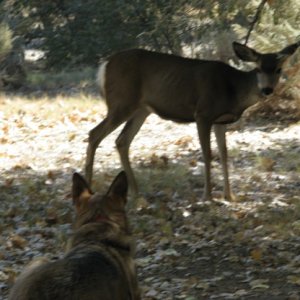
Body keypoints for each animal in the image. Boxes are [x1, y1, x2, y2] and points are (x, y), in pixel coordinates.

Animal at [84, 41, 298, 200]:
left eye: (279, 69)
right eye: (259, 68)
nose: (267, 90)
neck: (233, 91)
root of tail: (104, 66)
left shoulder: (221, 121)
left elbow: (224, 154)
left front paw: (230, 196)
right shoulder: (203, 114)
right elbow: (207, 154)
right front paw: (208, 196)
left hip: (141, 110)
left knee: (122, 140)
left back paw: (136, 192)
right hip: (121, 102)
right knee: (94, 134)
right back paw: (88, 190)